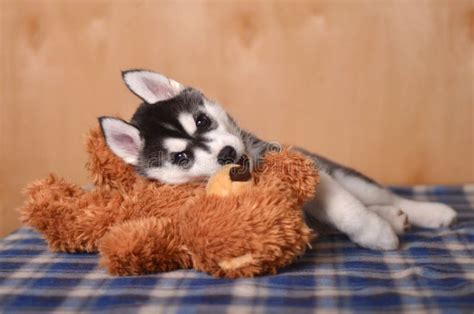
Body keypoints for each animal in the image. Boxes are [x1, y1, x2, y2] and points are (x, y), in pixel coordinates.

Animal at [99, 69, 456, 250]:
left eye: (202, 121)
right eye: (182, 157)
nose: (227, 154)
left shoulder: (310, 173)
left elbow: (348, 210)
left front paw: (376, 234)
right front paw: (382, 230)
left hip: (344, 175)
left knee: (383, 196)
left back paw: (429, 212)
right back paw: (394, 217)